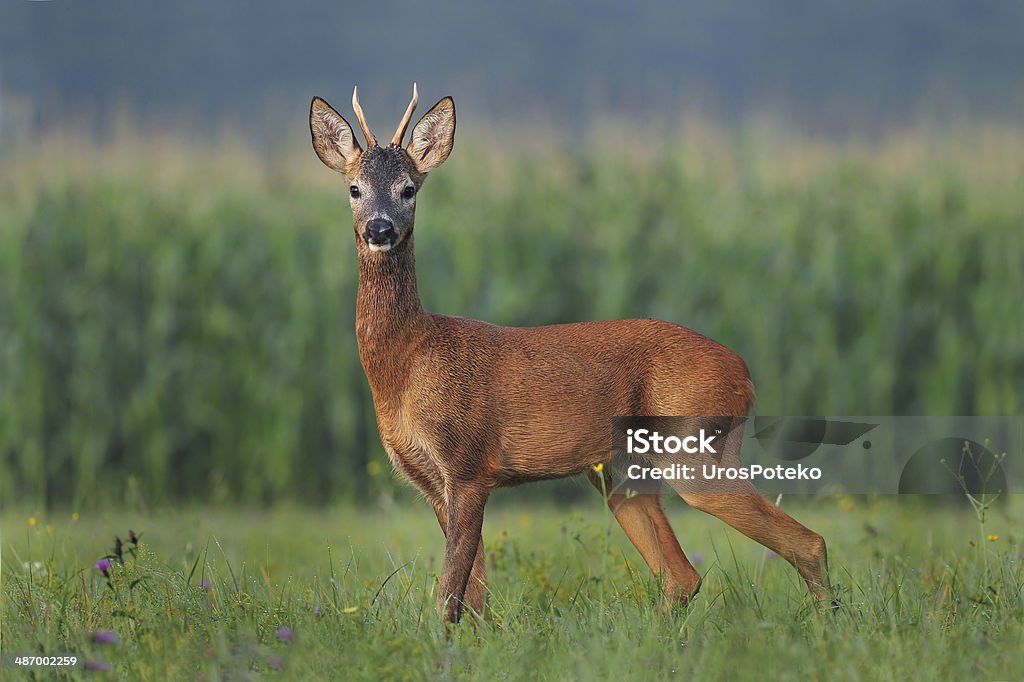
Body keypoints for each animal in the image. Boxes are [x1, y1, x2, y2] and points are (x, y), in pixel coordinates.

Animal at [305, 84, 831, 622]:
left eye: (409, 188)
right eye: (354, 189)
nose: (380, 229)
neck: (410, 361)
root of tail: (745, 373)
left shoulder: (469, 464)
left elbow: (450, 594)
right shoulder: (433, 481)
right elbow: (475, 598)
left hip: (695, 447)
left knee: (807, 542)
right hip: (622, 474)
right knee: (683, 576)